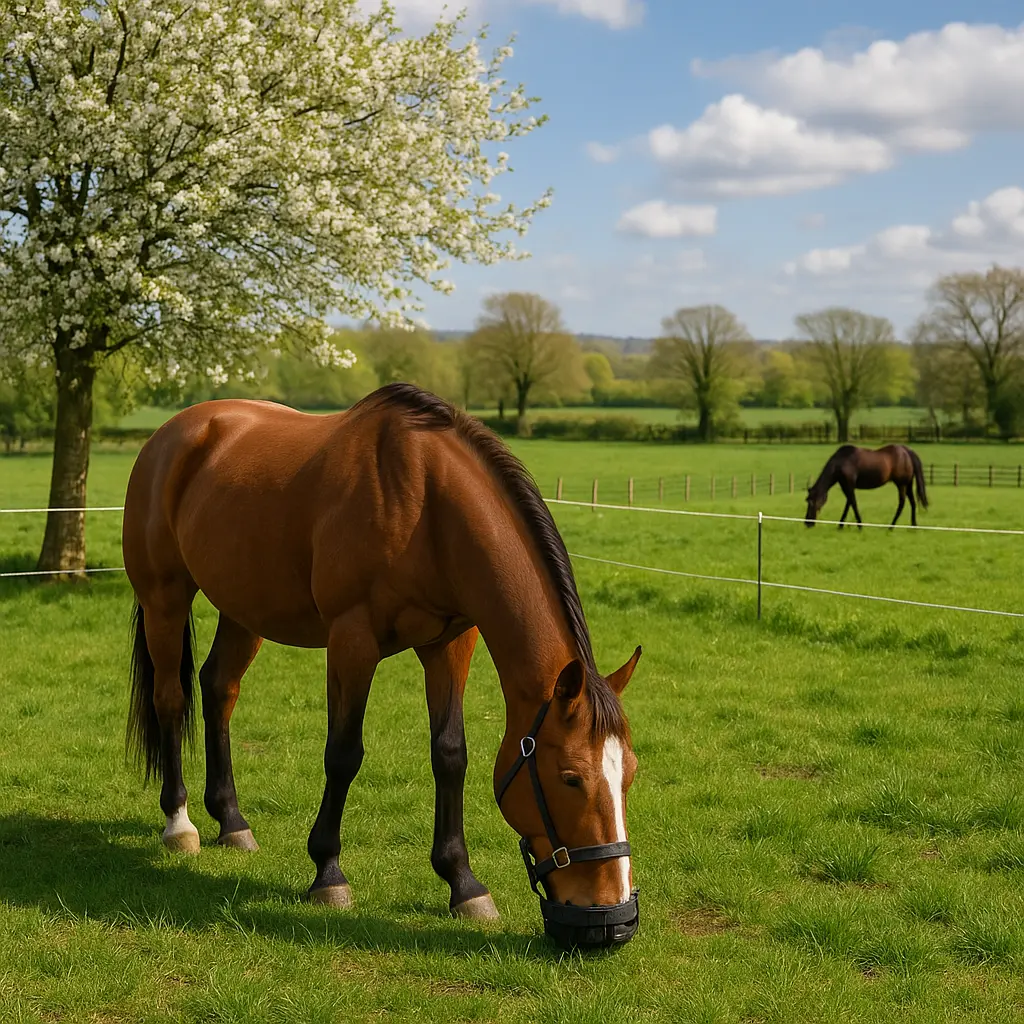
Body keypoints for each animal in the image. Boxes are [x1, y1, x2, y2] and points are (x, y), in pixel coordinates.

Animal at [122, 383, 642, 949]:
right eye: (570, 778)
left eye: (630, 774)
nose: (613, 917)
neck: (426, 505)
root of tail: (172, 435)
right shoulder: (353, 640)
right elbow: (343, 754)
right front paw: (328, 873)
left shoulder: (450, 644)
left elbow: (450, 755)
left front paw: (463, 883)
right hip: (165, 598)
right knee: (171, 699)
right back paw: (180, 824)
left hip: (244, 609)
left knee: (219, 689)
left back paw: (232, 821)